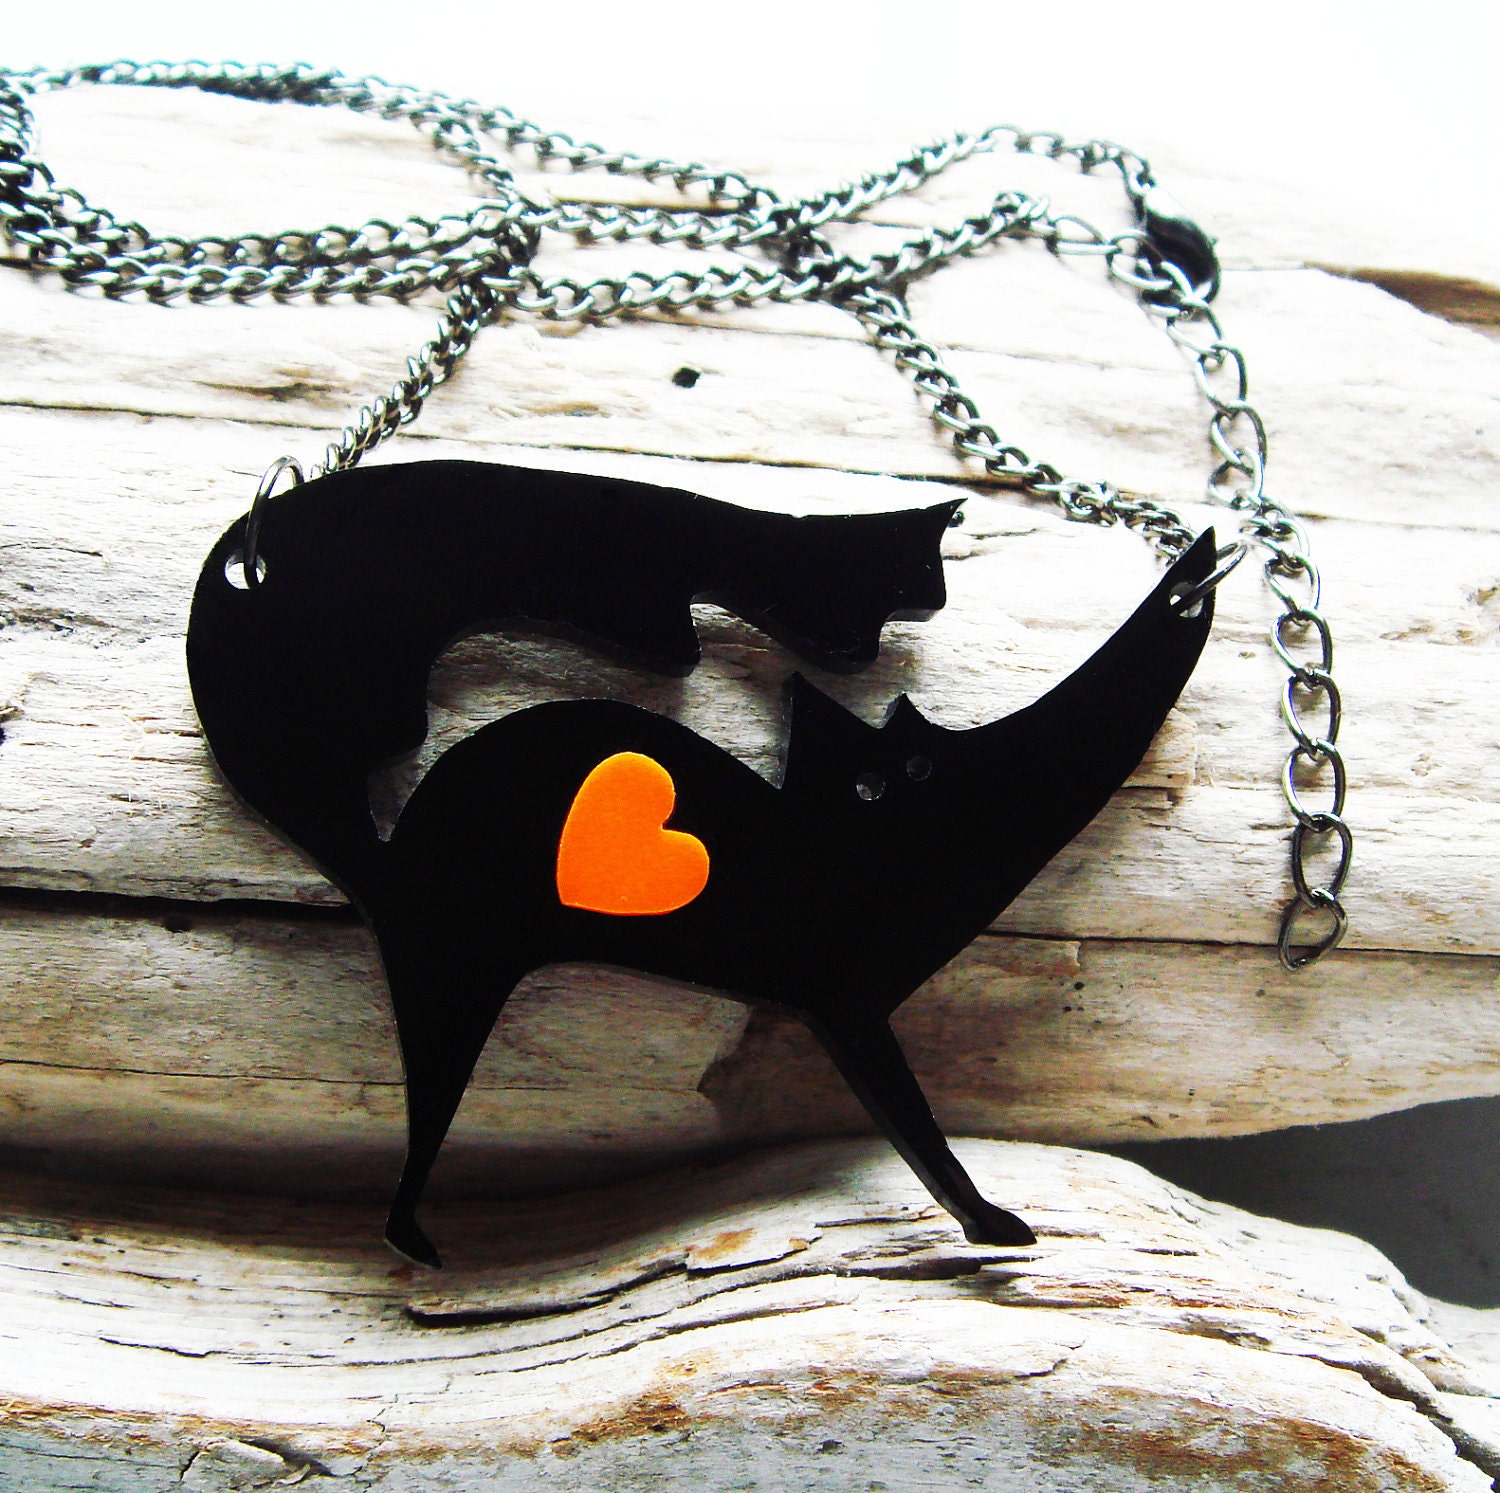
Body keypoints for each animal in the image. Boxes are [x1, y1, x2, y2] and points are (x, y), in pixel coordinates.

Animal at [187, 460, 1215, 1266]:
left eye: (916, 769)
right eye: (878, 781)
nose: (891, 792)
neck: (852, 843)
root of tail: (382, 857)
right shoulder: (848, 1004)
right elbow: (921, 1131)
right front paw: (992, 1222)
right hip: (452, 972)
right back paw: (414, 1241)